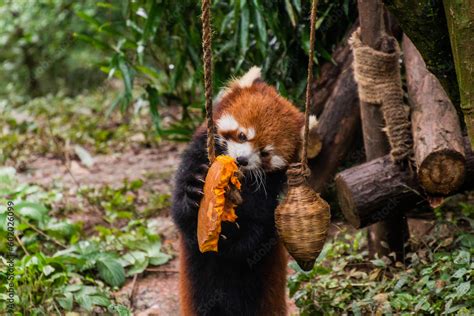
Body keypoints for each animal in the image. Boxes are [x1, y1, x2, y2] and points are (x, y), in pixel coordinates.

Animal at [172, 66, 316, 316]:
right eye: (242, 135)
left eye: (265, 152)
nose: (242, 160)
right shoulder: (194, 156)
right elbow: (183, 217)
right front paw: (194, 191)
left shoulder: (266, 196)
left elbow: (254, 235)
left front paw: (230, 231)